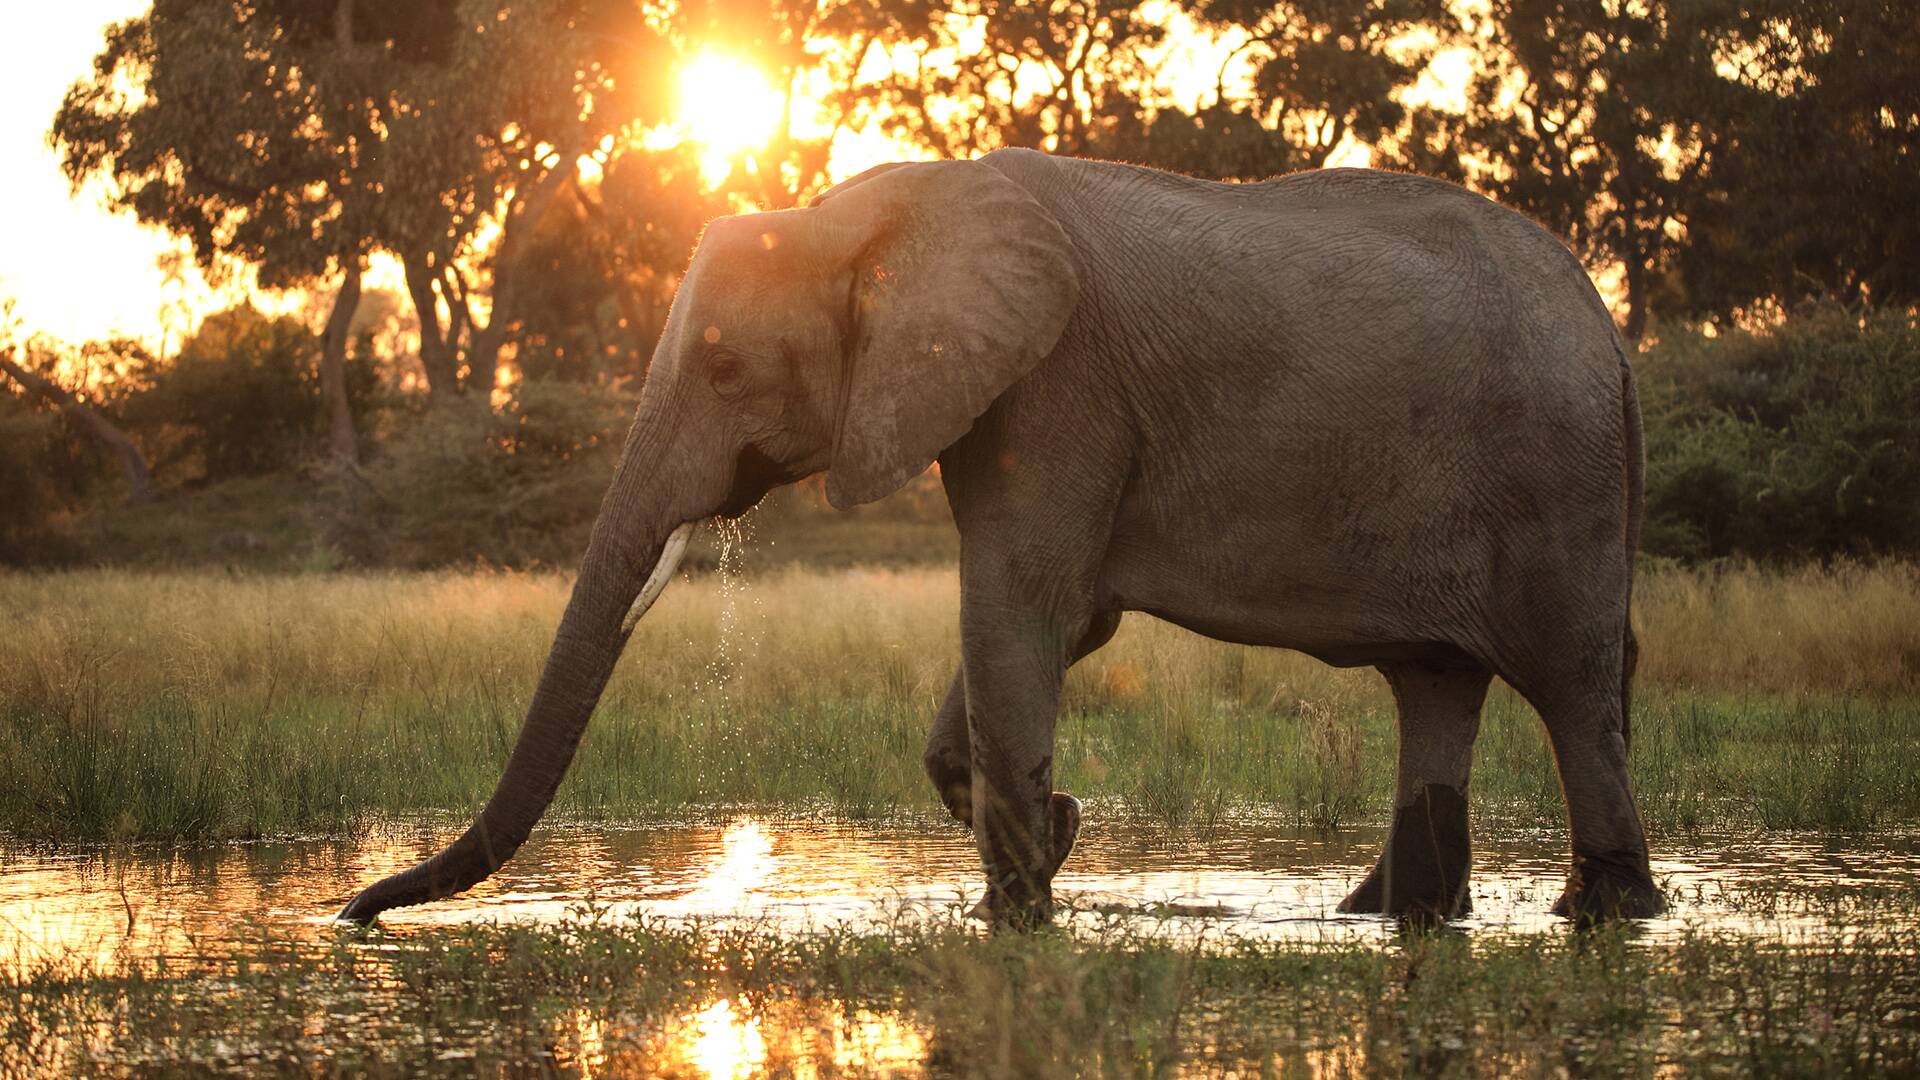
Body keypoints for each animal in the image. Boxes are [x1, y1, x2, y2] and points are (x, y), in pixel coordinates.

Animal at [341, 147, 1666, 922]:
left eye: (722, 368)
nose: (357, 914)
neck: (869, 213)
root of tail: (1612, 333)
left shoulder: (1057, 380)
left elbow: (1022, 604)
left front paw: (1023, 905)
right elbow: (1062, 619)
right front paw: (1052, 835)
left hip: (1554, 474)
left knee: (1571, 682)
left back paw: (1605, 916)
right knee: (1434, 685)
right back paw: (1387, 913)